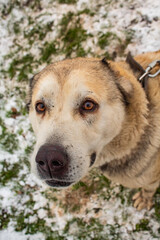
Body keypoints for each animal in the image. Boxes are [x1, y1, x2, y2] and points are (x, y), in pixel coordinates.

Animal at [27, 50, 160, 210]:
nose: (48, 160)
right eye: (40, 106)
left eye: (88, 105)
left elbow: (148, 189)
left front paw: (145, 199)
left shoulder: (152, 180)